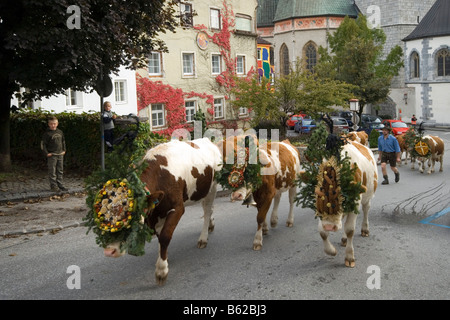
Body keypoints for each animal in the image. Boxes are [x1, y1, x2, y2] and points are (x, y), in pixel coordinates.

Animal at [102, 138, 221, 284]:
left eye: (130, 215)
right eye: (104, 215)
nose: (110, 250)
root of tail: (207, 140)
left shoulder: (178, 208)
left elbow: (165, 236)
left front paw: (161, 270)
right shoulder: (156, 213)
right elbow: (160, 236)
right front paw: (163, 257)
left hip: (213, 187)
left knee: (207, 210)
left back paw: (203, 238)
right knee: (207, 209)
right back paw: (211, 225)